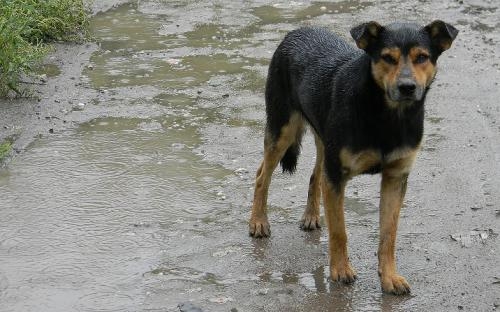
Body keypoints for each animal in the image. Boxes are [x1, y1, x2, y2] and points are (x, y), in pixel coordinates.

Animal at [248, 20, 458, 294]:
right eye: (387, 58)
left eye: (422, 57)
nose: (407, 87)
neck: (386, 115)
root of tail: (297, 30)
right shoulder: (337, 176)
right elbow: (339, 231)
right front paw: (340, 270)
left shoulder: (395, 177)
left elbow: (388, 234)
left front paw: (389, 276)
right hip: (282, 129)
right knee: (262, 174)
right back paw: (258, 221)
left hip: (324, 143)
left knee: (315, 176)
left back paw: (311, 215)